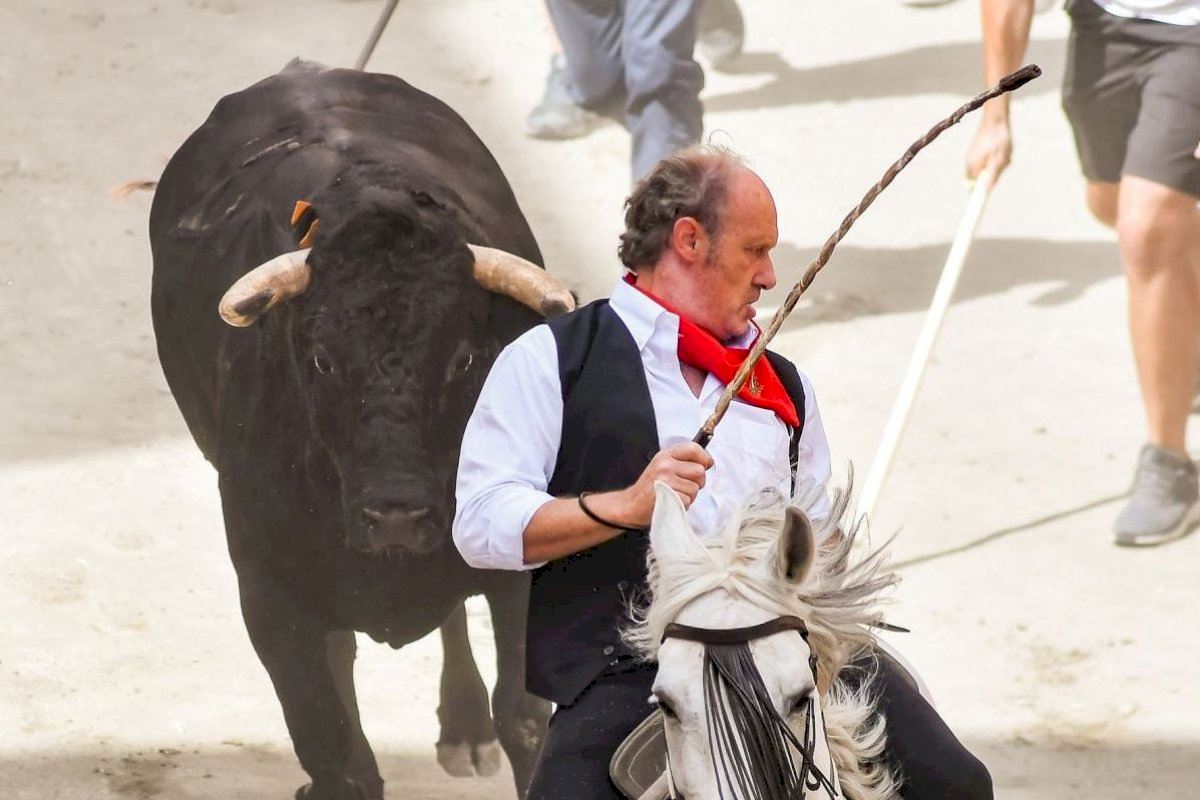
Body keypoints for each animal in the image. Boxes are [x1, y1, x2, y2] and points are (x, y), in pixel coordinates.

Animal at [151, 62, 556, 800]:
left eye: (464, 358)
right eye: (320, 359)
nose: (395, 513)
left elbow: (526, 717)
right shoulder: (270, 598)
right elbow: (334, 748)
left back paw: (465, 728)